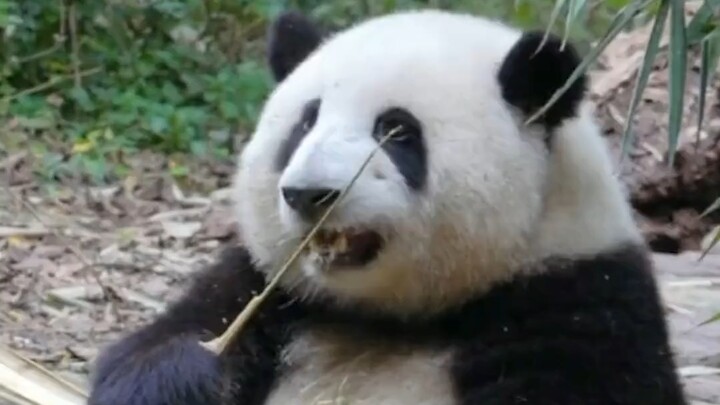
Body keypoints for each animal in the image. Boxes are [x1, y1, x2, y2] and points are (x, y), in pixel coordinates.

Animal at [88, 9, 688, 405]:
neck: (390, 317)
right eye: (305, 122)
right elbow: (151, 352)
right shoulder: (268, 288)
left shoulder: (576, 298)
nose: (308, 193)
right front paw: (191, 370)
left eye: (397, 132)